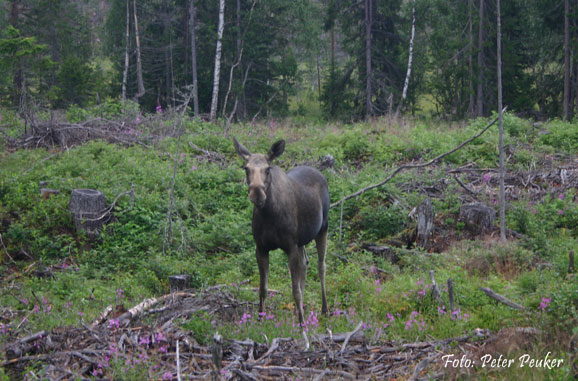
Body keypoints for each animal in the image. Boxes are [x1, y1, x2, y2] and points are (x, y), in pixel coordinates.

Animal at [232, 138, 326, 326]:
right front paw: (260, 320)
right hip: (301, 240)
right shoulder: (261, 248)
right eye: (246, 168)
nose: (257, 193)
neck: (269, 215)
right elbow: (263, 288)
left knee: (321, 266)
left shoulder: (290, 246)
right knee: (305, 263)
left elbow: (295, 290)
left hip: (323, 227)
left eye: (268, 169)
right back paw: (299, 311)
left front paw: (302, 326)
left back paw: (325, 310)